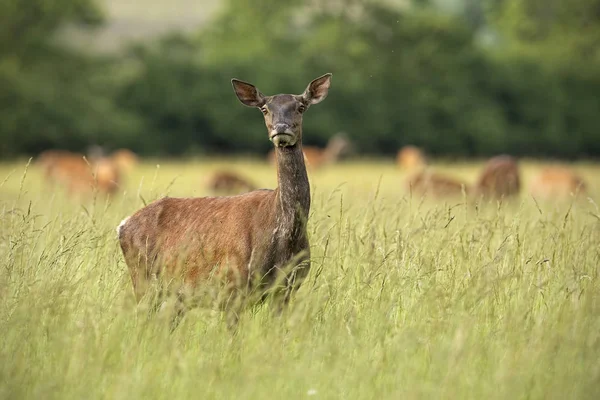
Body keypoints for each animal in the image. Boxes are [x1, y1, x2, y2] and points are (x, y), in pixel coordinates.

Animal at [117, 73, 332, 330]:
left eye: (301, 107)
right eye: (265, 109)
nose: (281, 129)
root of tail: (122, 225)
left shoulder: (286, 288)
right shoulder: (232, 285)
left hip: (173, 296)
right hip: (143, 279)